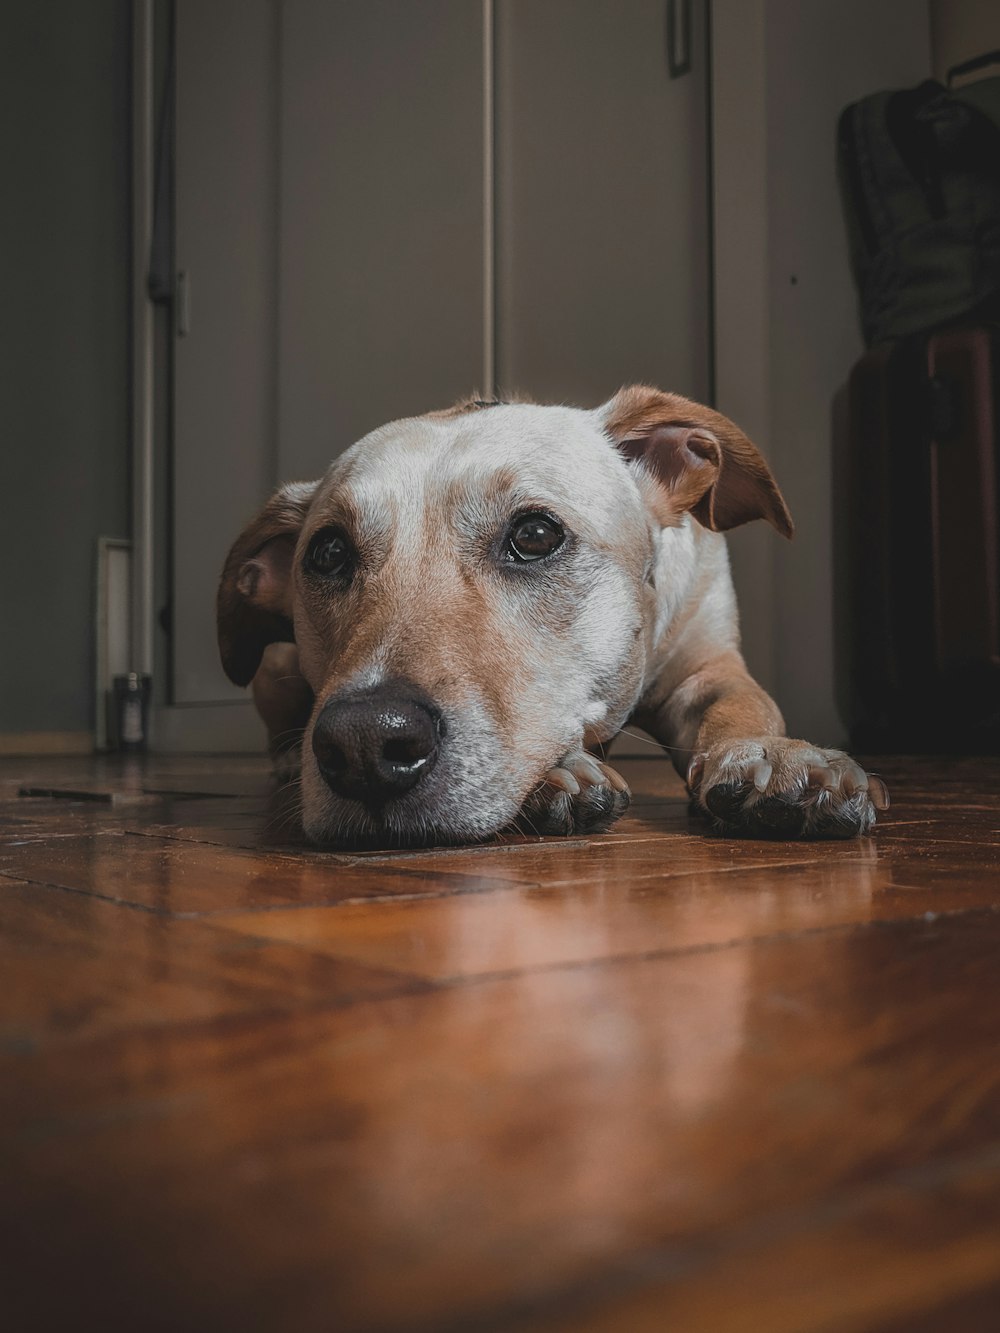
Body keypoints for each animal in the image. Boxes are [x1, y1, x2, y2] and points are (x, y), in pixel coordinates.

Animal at [216, 386, 890, 842]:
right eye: (328, 553)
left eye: (535, 535)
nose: (363, 745)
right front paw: (556, 775)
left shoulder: (708, 665)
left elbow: (746, 706)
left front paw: (775, 759)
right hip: (275, 667)